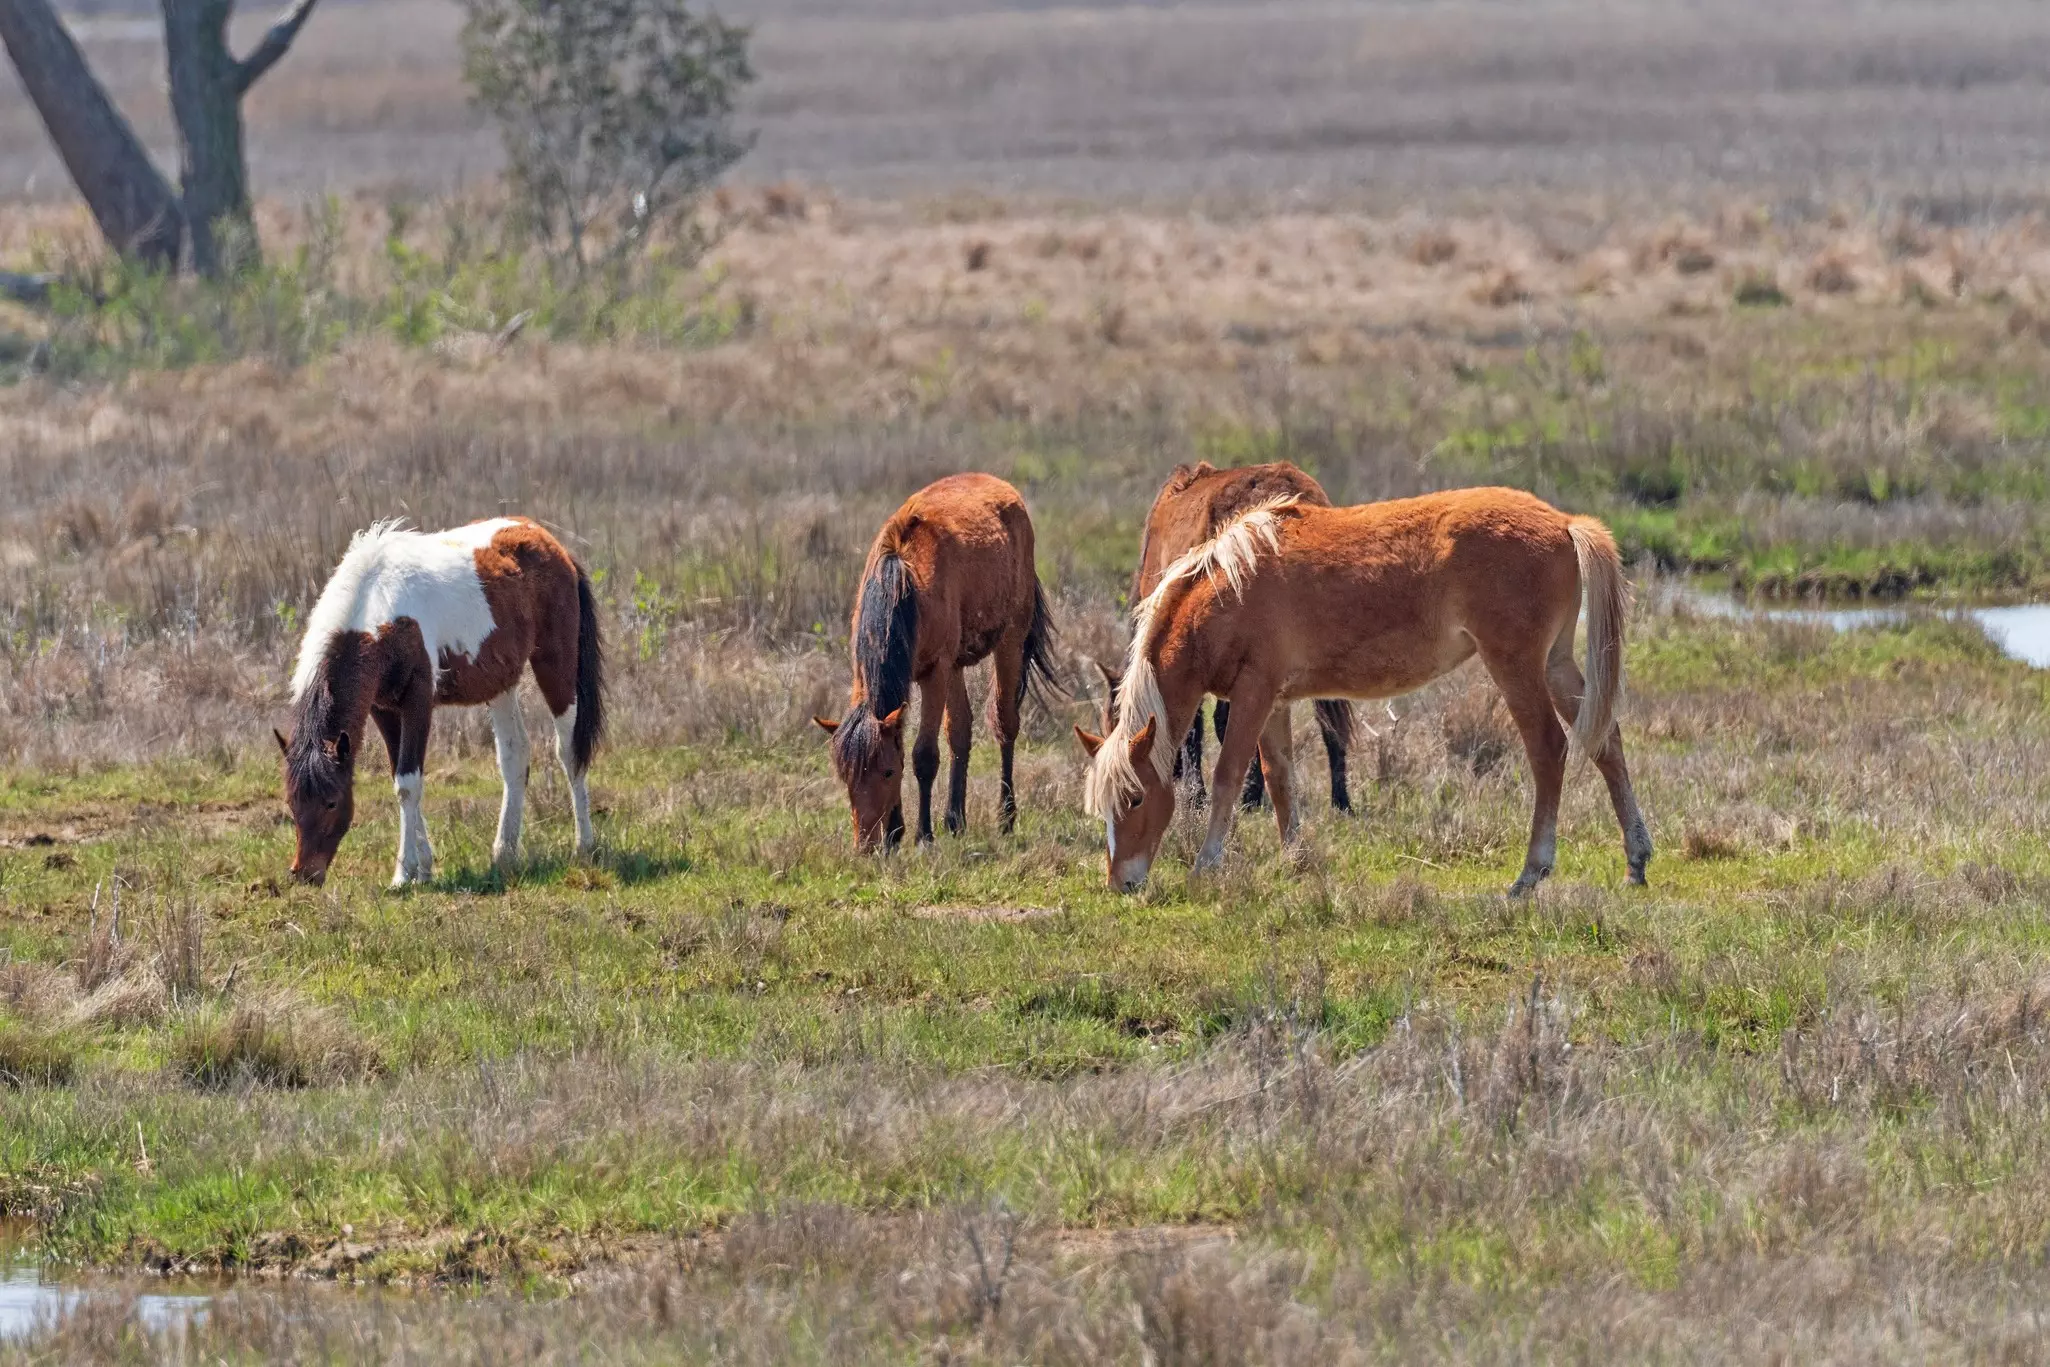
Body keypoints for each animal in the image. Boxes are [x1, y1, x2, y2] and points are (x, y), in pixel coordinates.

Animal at [275, 517, 605, 887]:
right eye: (292, 802)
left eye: (331, 803)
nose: (304, 874)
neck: (380, 614)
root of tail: (551, 543)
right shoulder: (383, 709)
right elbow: (401, 776)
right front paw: (424, 869)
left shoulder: (418, 703)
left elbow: (408, 784)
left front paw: (404, 874)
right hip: (500, 685)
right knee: (515, 756)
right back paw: (504, 854)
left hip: (556, 665)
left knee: (569, 752)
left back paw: (583, 846)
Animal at [815, 473, 1059, 851]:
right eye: (847, 776)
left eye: (886, 773)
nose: (866, 847)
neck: (903, 581)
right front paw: (896, 834)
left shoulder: (934, 673)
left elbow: (923, 756)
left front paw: (922, 835)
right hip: (957, 665)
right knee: (961, 731)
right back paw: (955, 818)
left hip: (1010, 641)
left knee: (1005, 724)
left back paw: (1005, 817)